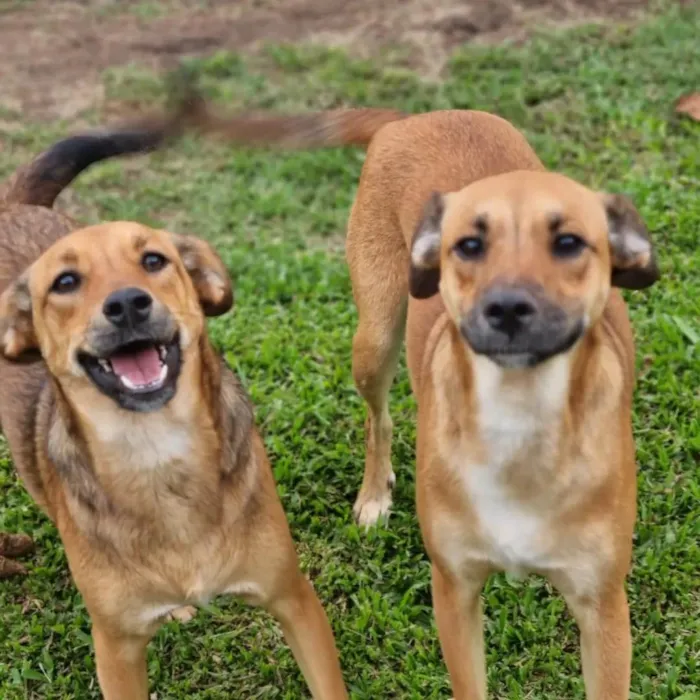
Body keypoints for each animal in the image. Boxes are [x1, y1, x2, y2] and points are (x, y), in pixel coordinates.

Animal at [0, 126, 348, 700]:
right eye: (65, 283)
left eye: (154, 261)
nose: (126, 304)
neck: (158, 453)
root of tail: (14, 208)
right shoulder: (115, 649)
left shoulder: (293, 598)